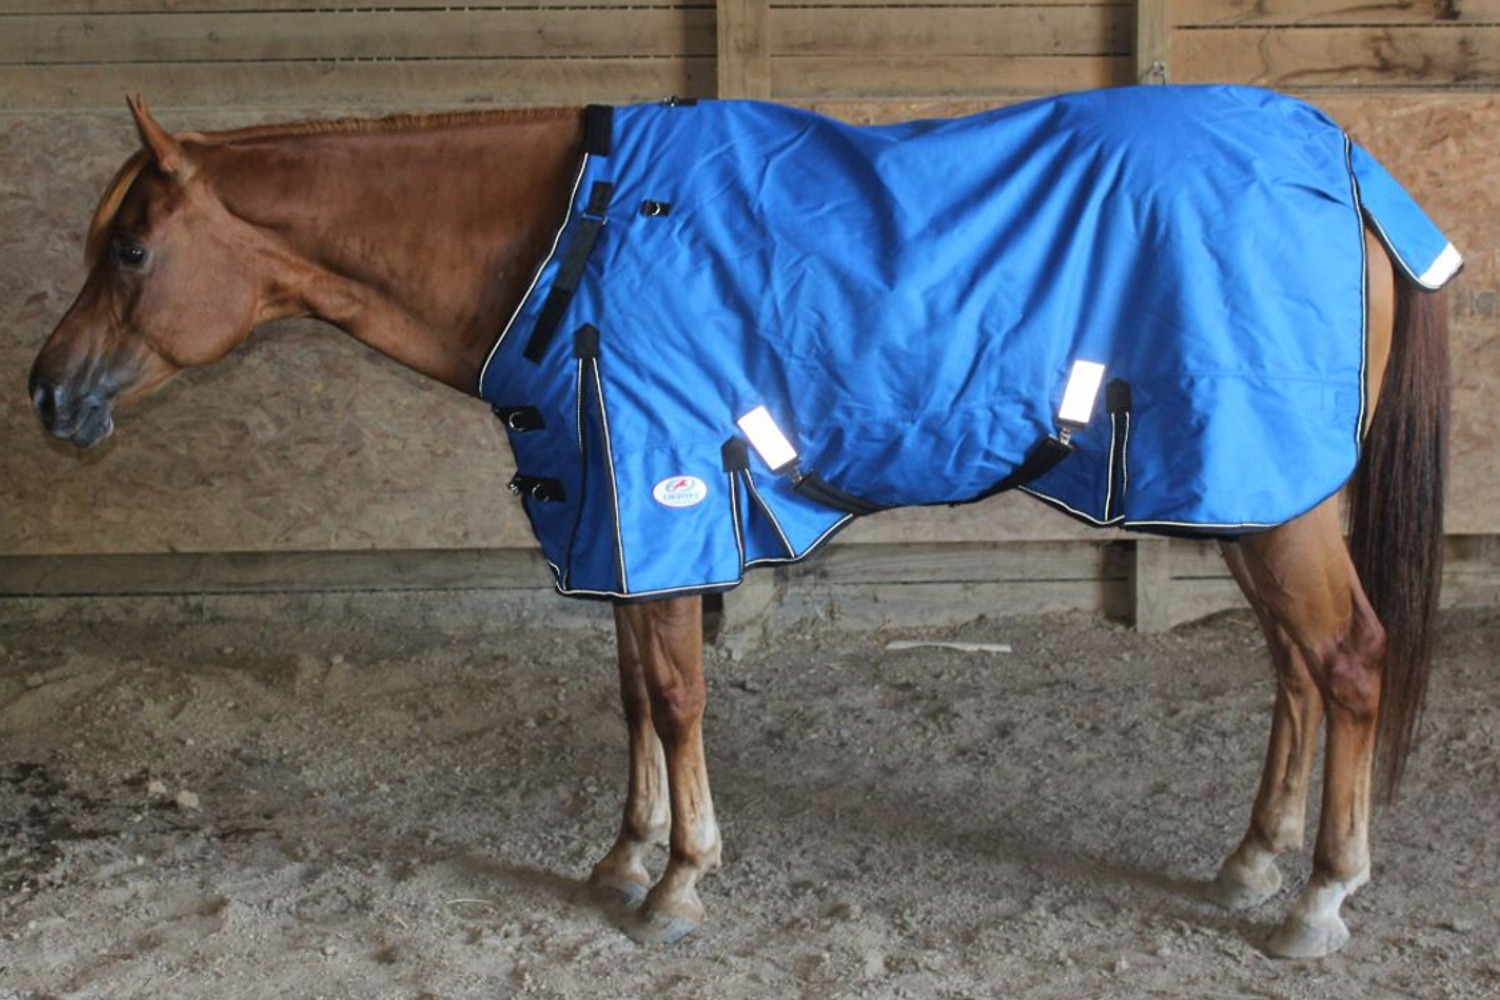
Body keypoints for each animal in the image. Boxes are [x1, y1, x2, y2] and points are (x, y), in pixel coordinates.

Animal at [28, 94, 1450, 959]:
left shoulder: (662, 504)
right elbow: (629, 695)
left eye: (132, 251)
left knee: (1346, 662)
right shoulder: (609, 518)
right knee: (1295, 674)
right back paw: (1252, 862)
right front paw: (623, 854)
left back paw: (1320, 896)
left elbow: (670, 693)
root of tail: (1340, 159)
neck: (576, 245)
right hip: (1258, 497)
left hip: (1272, 501)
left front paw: (679, 878)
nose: (47, 391)